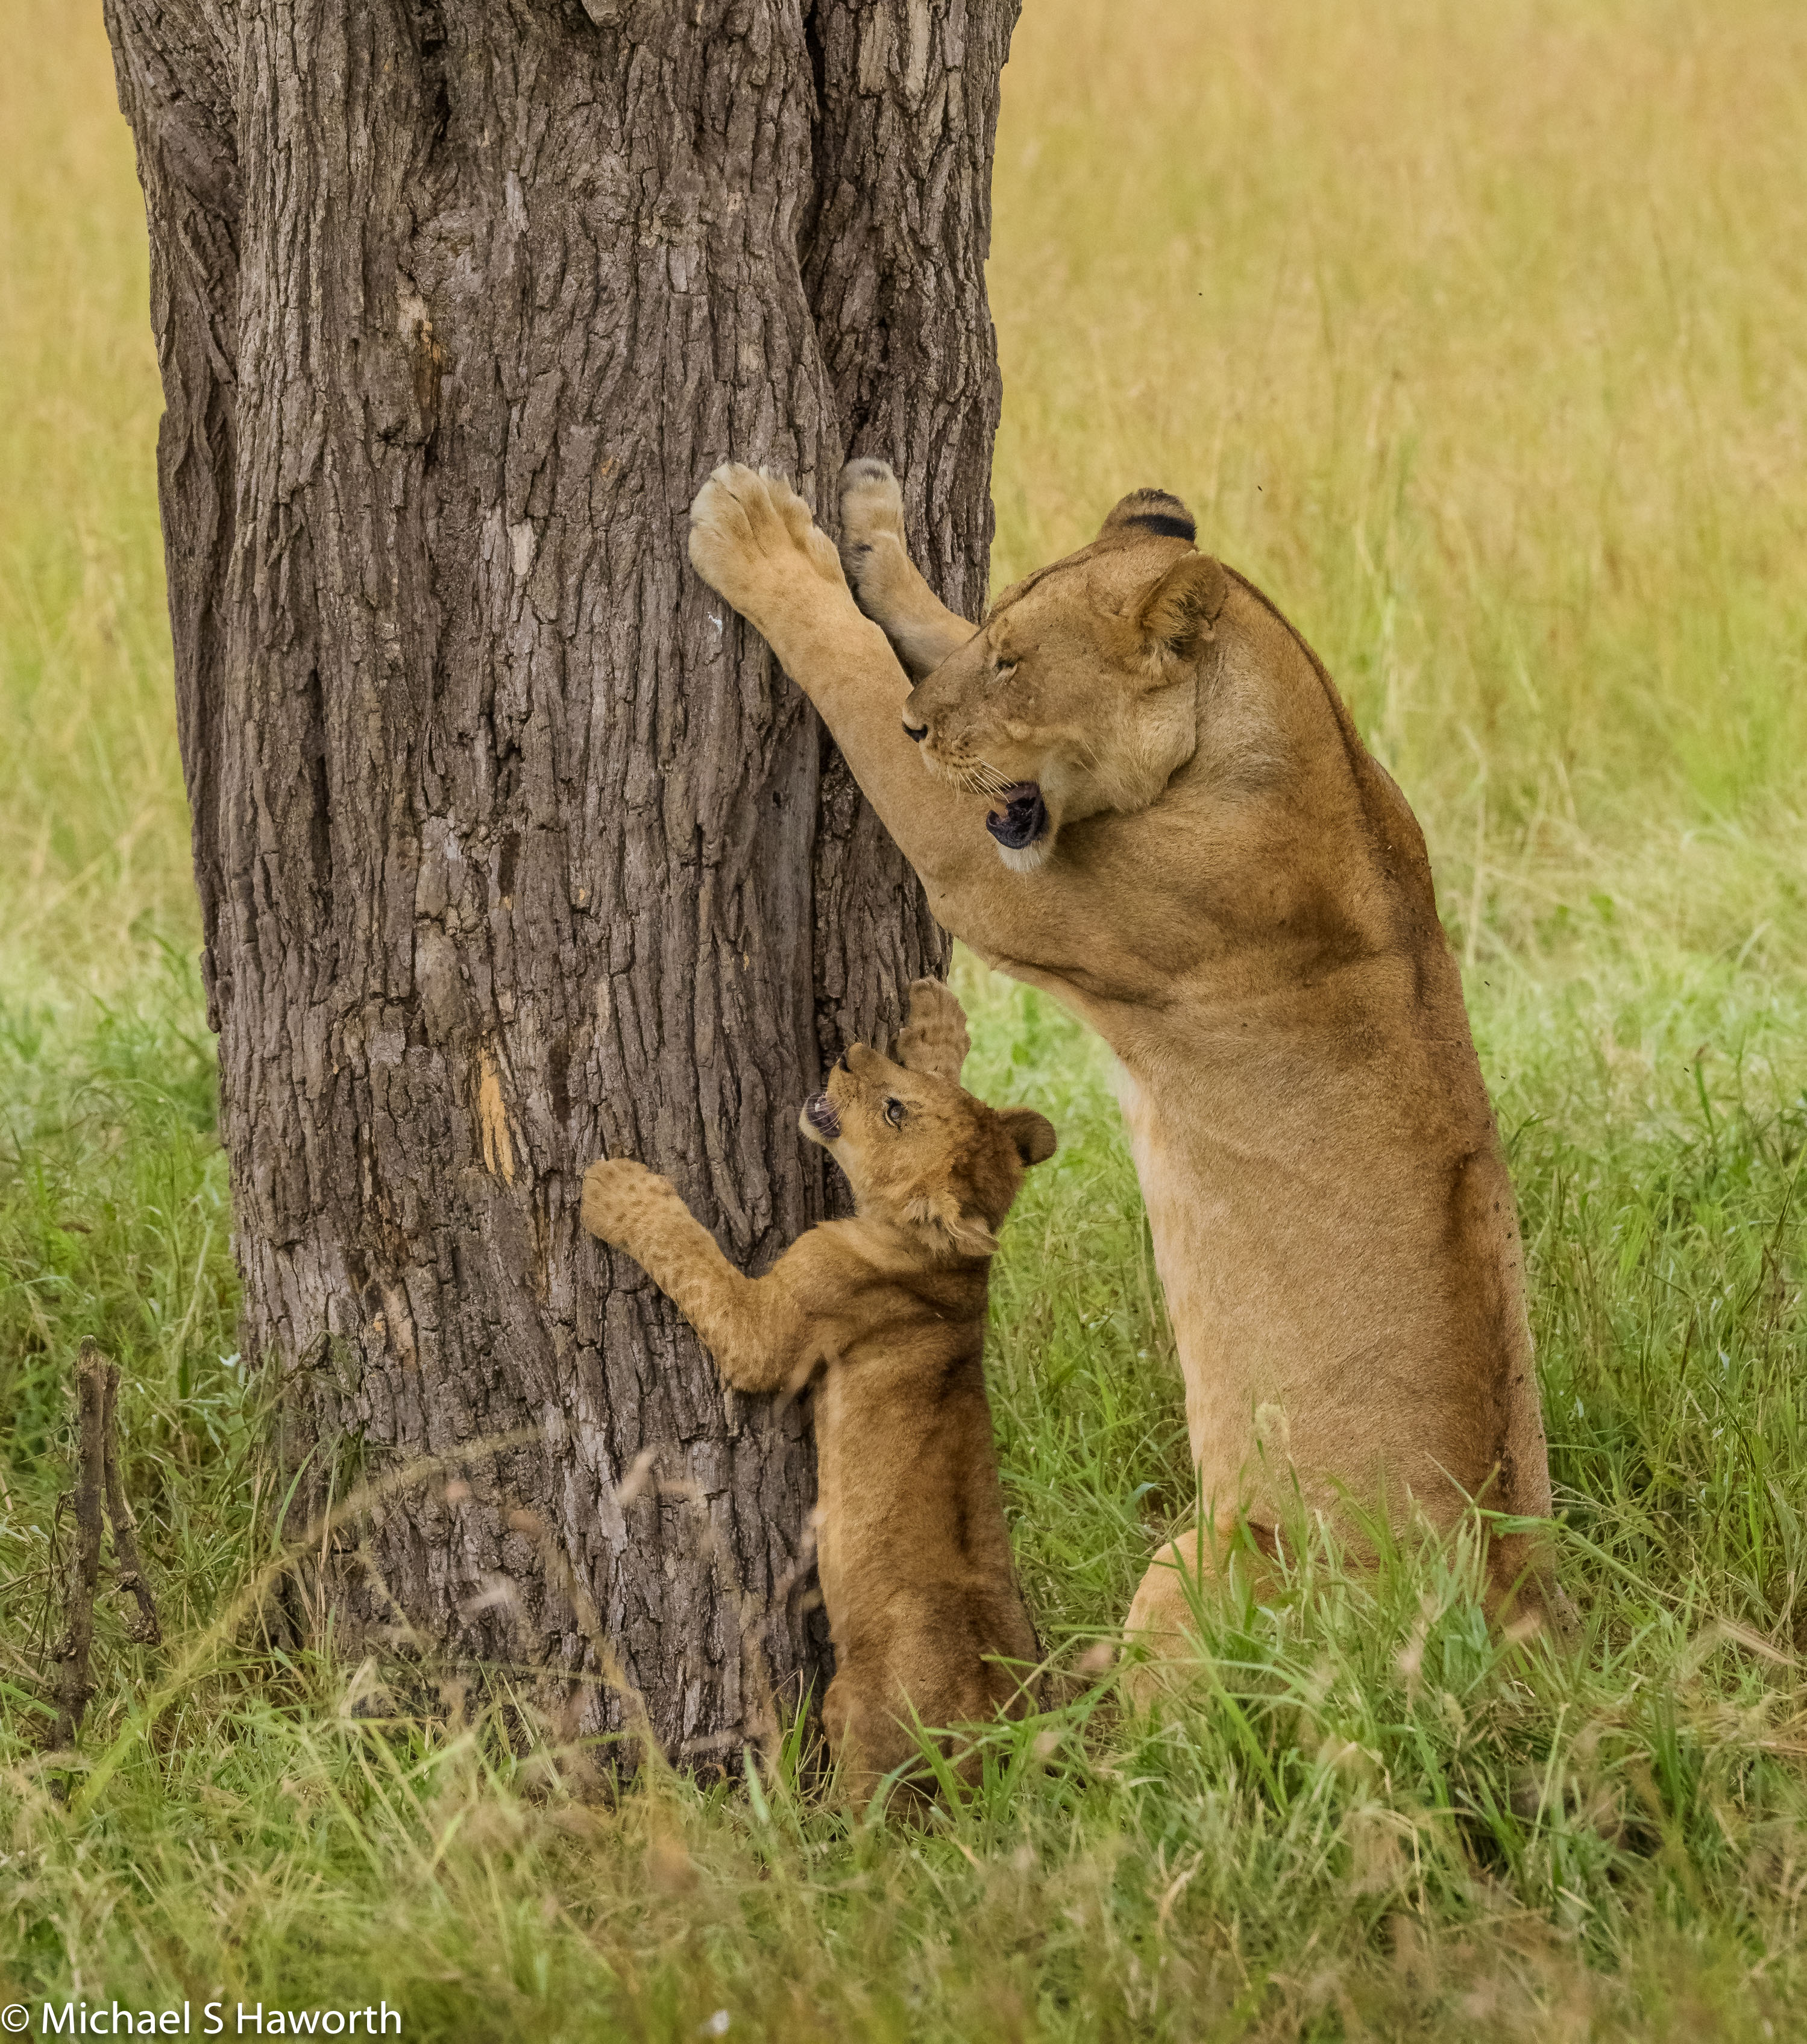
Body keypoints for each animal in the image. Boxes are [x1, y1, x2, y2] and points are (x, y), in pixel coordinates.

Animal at [581, 979, 1056, 1800]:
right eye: (907, 1088)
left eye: (895, 1109)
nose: (849, 1050)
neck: (948, 1266)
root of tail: (990, 1745)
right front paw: (935, 1016)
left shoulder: (771, 1332)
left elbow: (693, 1260)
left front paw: (616, 1191)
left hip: (852, 1712)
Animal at [686, 458, 1559, 1683]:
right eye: (995, 636)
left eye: (1014, 665)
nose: (923, 721)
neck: (1308, 730)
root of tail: (1510, 1606)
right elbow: (915, 623)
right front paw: (868, 521)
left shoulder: (994, 873)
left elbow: (850, 669)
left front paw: (758, 535)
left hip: (1201, 1559)